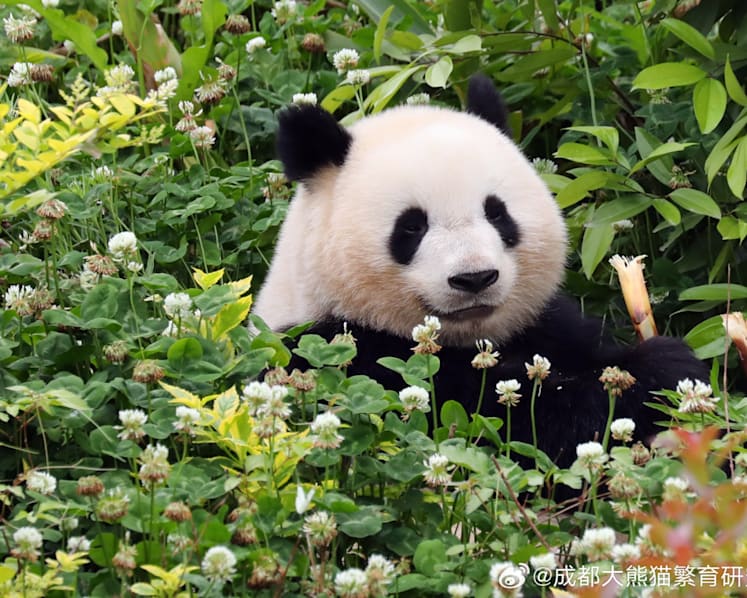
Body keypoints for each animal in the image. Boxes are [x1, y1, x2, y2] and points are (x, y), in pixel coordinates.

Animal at [254, 75, 707, 467]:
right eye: (412, 226)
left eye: (497, 213)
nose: (474, 278)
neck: (471, 340)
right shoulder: (343, 356)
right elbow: (513, 422)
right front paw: (661, 367)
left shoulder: (546, 323)